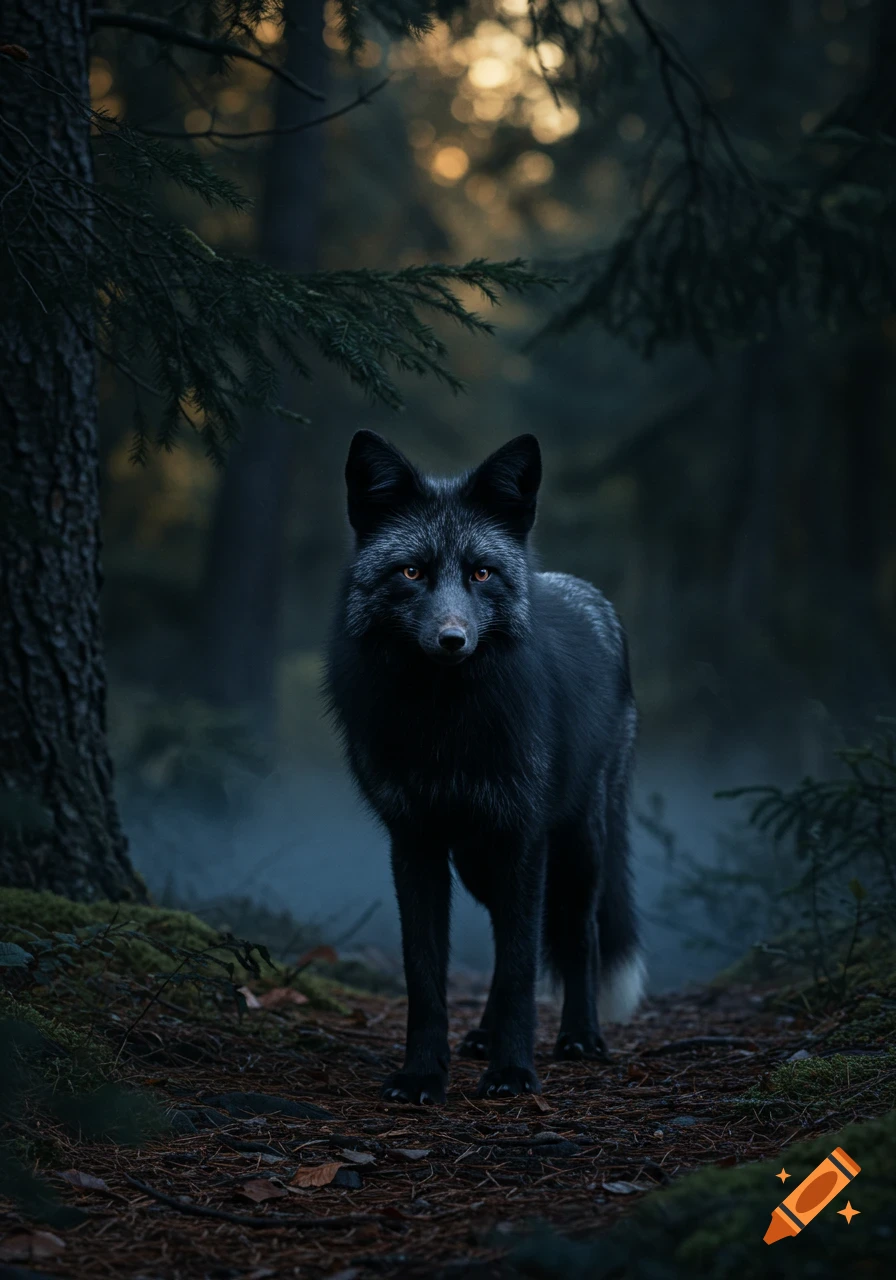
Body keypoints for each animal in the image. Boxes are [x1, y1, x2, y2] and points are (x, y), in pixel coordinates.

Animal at [324, 430, 644, 1103]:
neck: (445, 729)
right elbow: (426, 976)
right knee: (506, 933)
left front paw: (513, 1072)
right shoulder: (414, 840)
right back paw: (483, 1034)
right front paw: (424, 1074)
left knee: (576, 933)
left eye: (481, 572)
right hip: (476, 860)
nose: (452, 639)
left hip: (578, 840)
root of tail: (585, 592)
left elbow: (524, 967)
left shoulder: (521, 834)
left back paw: (581, 1037)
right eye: (412, 571)